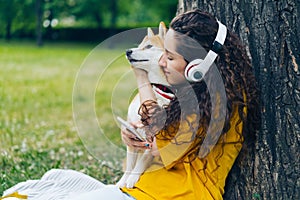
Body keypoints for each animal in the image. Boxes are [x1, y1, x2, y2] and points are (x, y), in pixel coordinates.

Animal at [117, 22, 173, 189]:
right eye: (140, 46)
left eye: (148, 46)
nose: (128, 51)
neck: (159, 91)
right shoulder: (131, 135)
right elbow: (130, 165)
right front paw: (123, 180)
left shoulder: (153, 140)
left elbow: (141, 162)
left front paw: (132, 179)